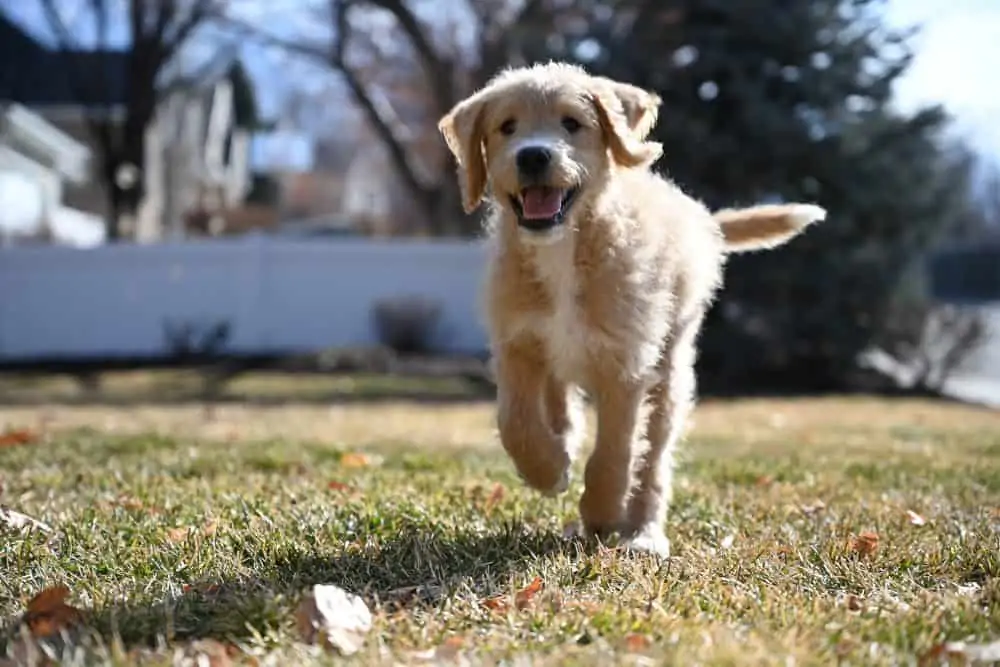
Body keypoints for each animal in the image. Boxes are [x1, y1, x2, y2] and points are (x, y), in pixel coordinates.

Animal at [440, 62, 828, 560]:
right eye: (507, 127)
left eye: (572, 123)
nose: (533, 156)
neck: (566, 248)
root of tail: (702, 220)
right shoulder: (518, 343)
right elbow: (516, 423)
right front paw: (549, 469)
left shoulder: (625, 364)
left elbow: (615, 452)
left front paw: (602, 513)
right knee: (560, 399)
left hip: (670, 374)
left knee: (653, 460)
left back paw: (644, 532)